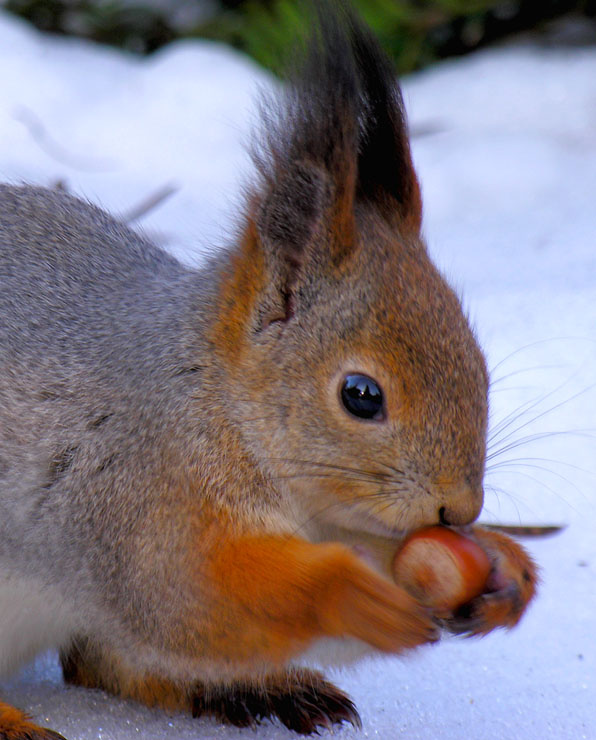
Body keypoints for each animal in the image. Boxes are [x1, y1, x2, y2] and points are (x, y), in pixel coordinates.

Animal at [0, 2, 537, 737]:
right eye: (361, 395)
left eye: (480, 368)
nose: (459, 508)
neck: (220, 403)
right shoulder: (135, 492)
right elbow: (185, 595)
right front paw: (348, 593)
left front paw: (508, 569)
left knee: (104, 666)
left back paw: (261, 690)